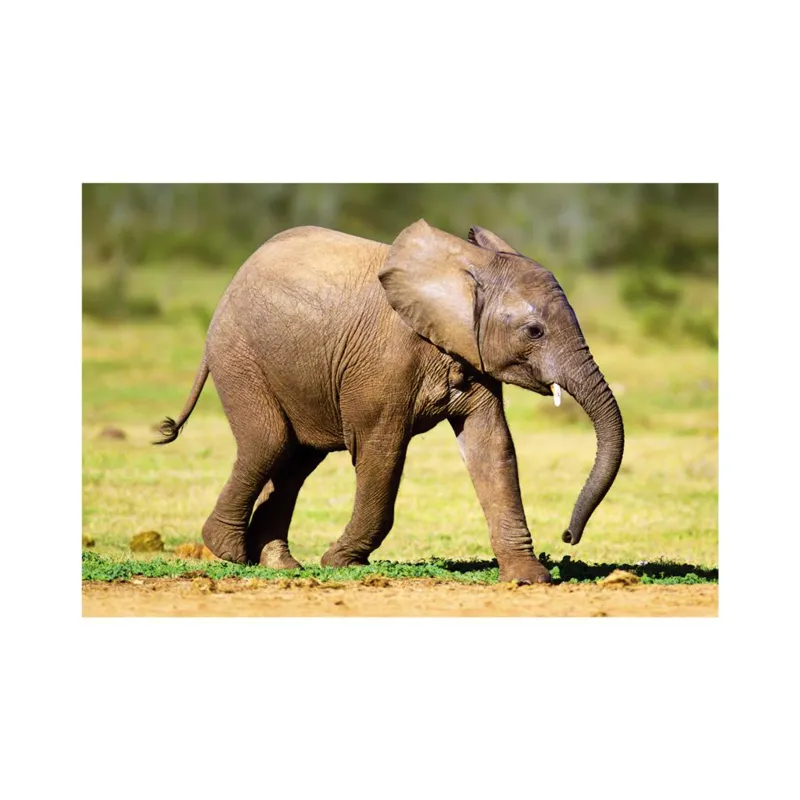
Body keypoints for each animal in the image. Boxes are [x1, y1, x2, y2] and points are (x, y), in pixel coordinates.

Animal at [155, 220, 624, 584]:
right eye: (534, 331)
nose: (568, 537)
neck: (465, 269)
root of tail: (232, 282)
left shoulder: (468, 351)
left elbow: (492, 447)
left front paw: (528, 579)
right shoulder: (385, 363)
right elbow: (380, 451)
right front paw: (340, 562)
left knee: (295, 459)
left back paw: (280, 565)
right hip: (239, 354)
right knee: (269, 442)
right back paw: (229, 552)